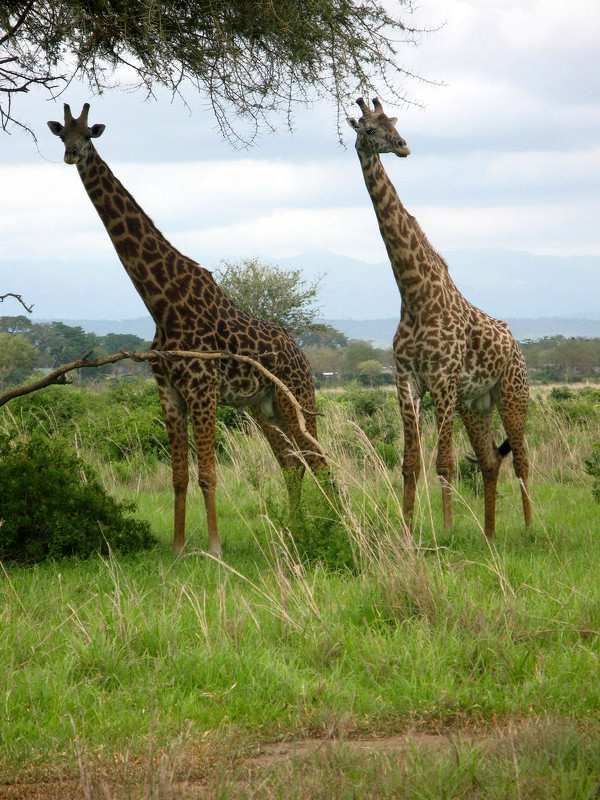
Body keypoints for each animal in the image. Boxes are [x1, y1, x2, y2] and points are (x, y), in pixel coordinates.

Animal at [48, 103, 328, 556]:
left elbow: (208, 474)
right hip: (264, 408)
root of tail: (303, 356)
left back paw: (332, 525)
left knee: (317, 459)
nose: (72, 154)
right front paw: (179, 548)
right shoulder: (169, 392)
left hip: (296, 399)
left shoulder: (202, 388)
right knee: (291, 463)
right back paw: (297, 528)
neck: (162, 303)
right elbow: (179, 475)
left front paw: (213, 549)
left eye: (89, 134)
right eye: (61, 134)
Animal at [346, 98, 528, 536]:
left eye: (393, 124)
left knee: (523, 461)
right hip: (476, 403)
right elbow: (410, 463)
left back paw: (531, 530)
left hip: (514, 394)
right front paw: (408, 528)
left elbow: (444, 462)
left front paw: (445, 531)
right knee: (491, 460)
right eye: (370, 129)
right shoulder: (407, 380)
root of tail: (516, 346)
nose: (403, 146)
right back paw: (489, 534)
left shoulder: (443, 380)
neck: (413, 294)